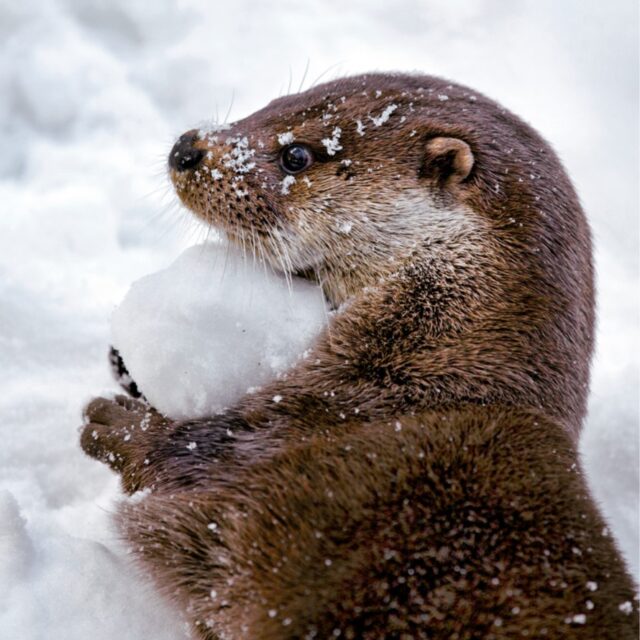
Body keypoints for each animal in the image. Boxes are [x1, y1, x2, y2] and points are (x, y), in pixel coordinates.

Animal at [81, 73, 638, 638]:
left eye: (296, 156)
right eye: (273, 103)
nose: (186, 148)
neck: (434, 380)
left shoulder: (289, 433)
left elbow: (191, 455)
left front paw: (115, 422)